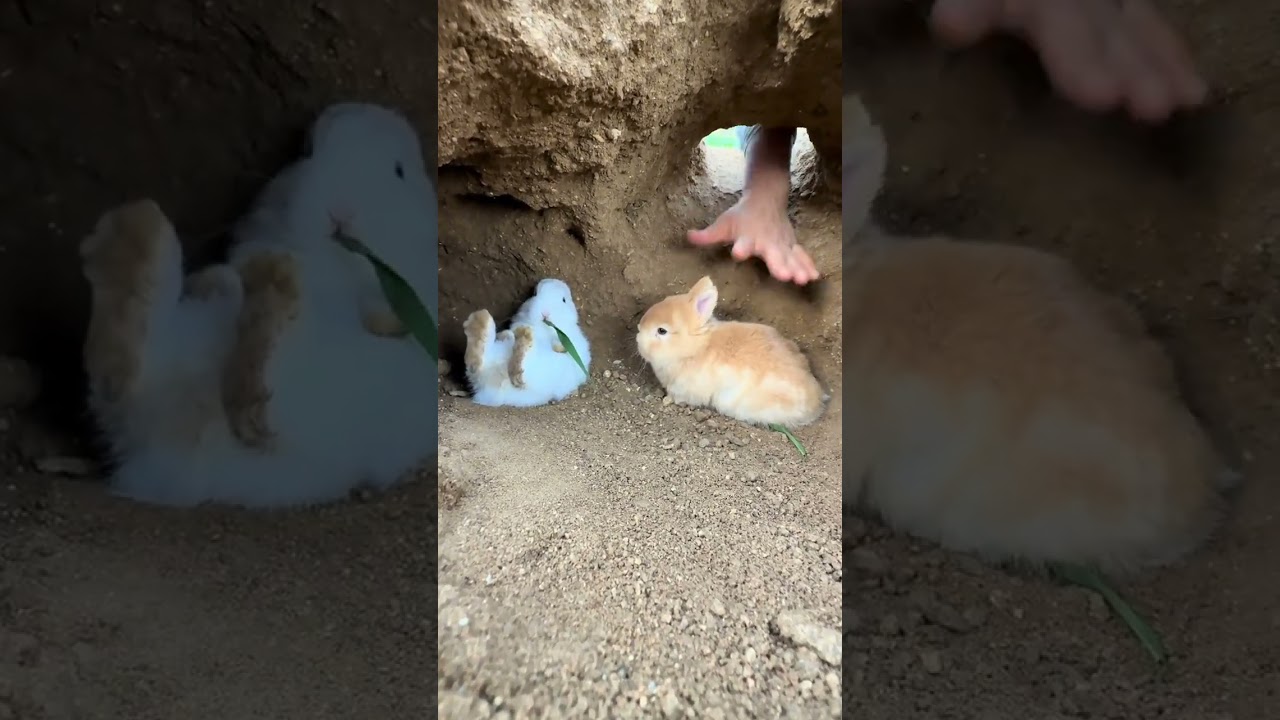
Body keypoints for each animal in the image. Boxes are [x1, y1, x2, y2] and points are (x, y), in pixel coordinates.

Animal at [81, 102, 439, 508]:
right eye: (306, 152)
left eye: (399, 171)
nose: (340, 211)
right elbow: (227, 272)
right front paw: (217, 278)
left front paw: (383, 319)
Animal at [463, 278, 592, 407]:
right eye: (534, 294)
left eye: (564, 300)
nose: (545, 313)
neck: (542, 328)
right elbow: (509, 333)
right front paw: (505, 334)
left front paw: (559, 347)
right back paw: (480, 322)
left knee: (519, 372)